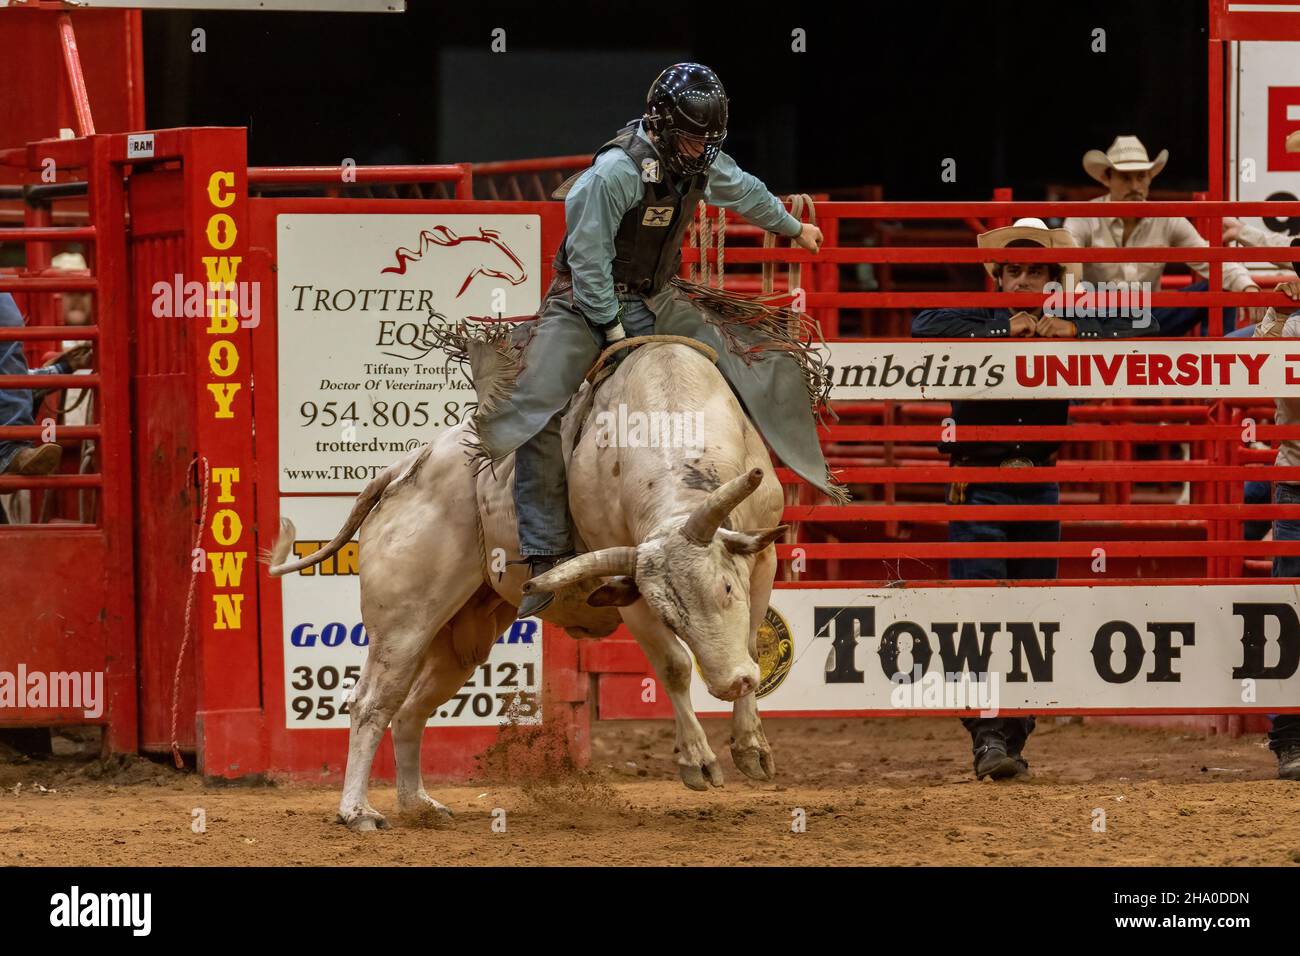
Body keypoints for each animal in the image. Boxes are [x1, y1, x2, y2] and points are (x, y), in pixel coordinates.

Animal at [269, 321, 826, 832]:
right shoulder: (627, 589)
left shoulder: (761, 560)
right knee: (370, 703)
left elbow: (750, 639)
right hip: (402, 622)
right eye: (670, 615)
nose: (732, 683)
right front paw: (698, 760)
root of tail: (406, 465)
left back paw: (419, 804)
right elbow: (672, 665)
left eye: (726, 588)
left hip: (462, 638)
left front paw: (752, 747)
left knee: (411, 709)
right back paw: (357, 811)